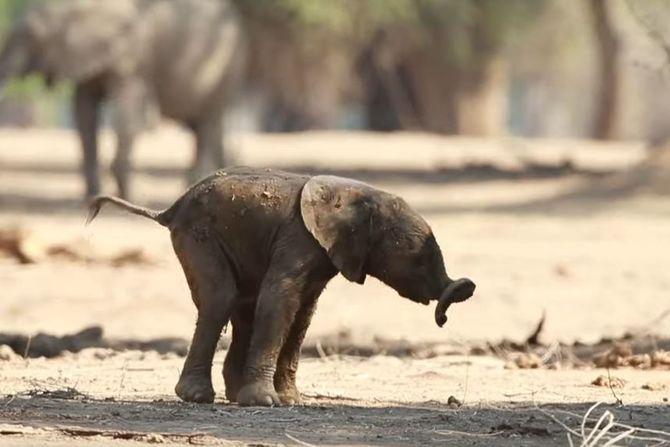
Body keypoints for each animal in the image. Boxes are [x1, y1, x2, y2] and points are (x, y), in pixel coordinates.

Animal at [0, 0, 247, 200]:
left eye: (31, 37)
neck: (70, 10)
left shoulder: (132, 56)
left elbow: (127, 110)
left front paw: (131, 195)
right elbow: (84, 111)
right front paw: (93, 195)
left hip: (226, 69)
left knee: (207, 123)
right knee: (200, 126)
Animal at [88, 167, 478, 406]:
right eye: (413, 250)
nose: (464, 288)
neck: (360, 195)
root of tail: (170, 207)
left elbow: (303, 312)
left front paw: (290, 401)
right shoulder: (299, 237)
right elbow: (281, 299)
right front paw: (267, 402)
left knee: (243, 305)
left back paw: (235, 395)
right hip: (198, 234)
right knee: (221, 299)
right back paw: (200, 397)